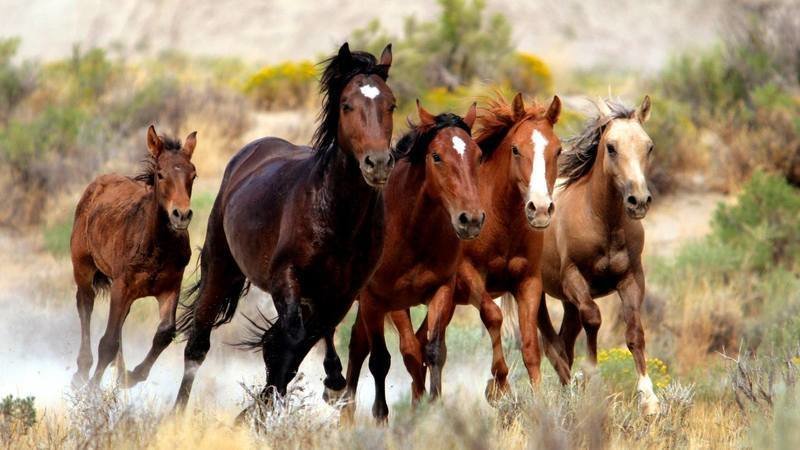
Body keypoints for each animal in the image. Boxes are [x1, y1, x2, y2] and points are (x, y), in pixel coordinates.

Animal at [70, 125, 198, 388]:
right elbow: (108, 342)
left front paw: (130, 377)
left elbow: (165, 333)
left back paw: (118, 372)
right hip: (83, 266)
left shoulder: (170, 287)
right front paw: (92, 390)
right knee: (85, 303)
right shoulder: (122, 285)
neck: (156, 248)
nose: (181, 215)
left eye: (193, 175)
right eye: (160, 174)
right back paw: (82, 371)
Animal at [173, 43, 396, 409]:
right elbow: (292, 339)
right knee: (198, 344)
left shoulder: (342, 293)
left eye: (391, 104)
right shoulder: (286, 278)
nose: (377, 164)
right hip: (221, 267)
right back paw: (177, 413)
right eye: (347, 105)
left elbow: (296, 345)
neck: (337, 218)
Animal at [334, 102, 483, 423]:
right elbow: (392, 356)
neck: (411, 230)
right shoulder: (383, 300)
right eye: (437, 156)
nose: (471, 219)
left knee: (358, 344)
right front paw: (382, 417)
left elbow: (432, 351)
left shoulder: (442, 291)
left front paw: (432, 409)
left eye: (478, 154)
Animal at [393, 93, 563, 404]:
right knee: (409, 346)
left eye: (558, 150)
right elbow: (493, 315)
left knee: (422, 345)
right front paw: (500, 384)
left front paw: (538, 401)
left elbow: (531, 345)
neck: (500, 219)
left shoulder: (528, 281)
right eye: (516, 149)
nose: (541, 209)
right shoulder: (467, 276)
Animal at [536, 96, 659, 415]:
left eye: (649, 146)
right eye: (611, 147)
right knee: (550, 346)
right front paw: (590, 376)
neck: (603, 222)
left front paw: (649, 399)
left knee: (564, 343)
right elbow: (593, 318)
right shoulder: (573, 278)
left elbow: (634, 332)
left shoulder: (632, 279)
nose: (638, 201)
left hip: (567, 303)